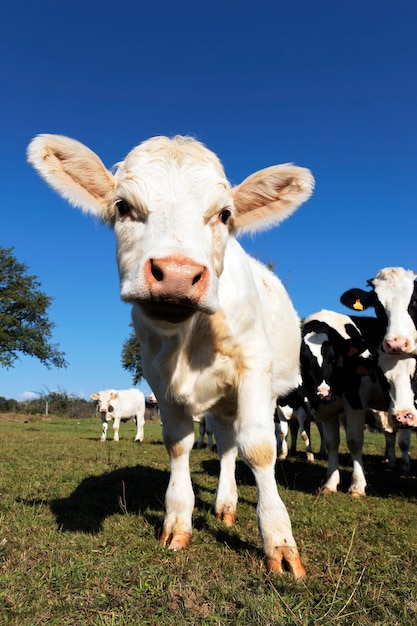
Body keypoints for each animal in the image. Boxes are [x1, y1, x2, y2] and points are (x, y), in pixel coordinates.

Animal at [27, 134, 314, 576]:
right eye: (123, 206)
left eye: (225, 214)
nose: (178, 275)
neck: (190, 338)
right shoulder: (158, 378)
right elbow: (178, 444)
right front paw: (178, 522)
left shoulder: (253, 366)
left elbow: (260, 447)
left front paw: (279, 542)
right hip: (221, 404)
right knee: (226, 445)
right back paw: (225, 504)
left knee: (240, 443)